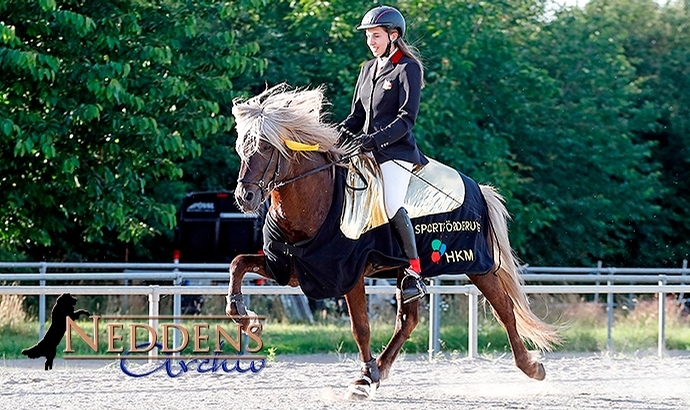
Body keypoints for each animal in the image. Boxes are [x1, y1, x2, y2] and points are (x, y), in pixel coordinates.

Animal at [226, 84, 560, 400]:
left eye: (265, 147)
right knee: (407, 321)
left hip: (477, 265)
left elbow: (360, 327)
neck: (316, 202)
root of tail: (478, 188)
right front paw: (244, 317)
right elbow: (237, 263)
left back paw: (531, 367)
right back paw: (380, 369)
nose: (245, 197)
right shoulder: (292, 269)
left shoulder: (349, 274)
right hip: (405, 271)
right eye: (241, 148)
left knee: (504, 308)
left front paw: (362, 380)